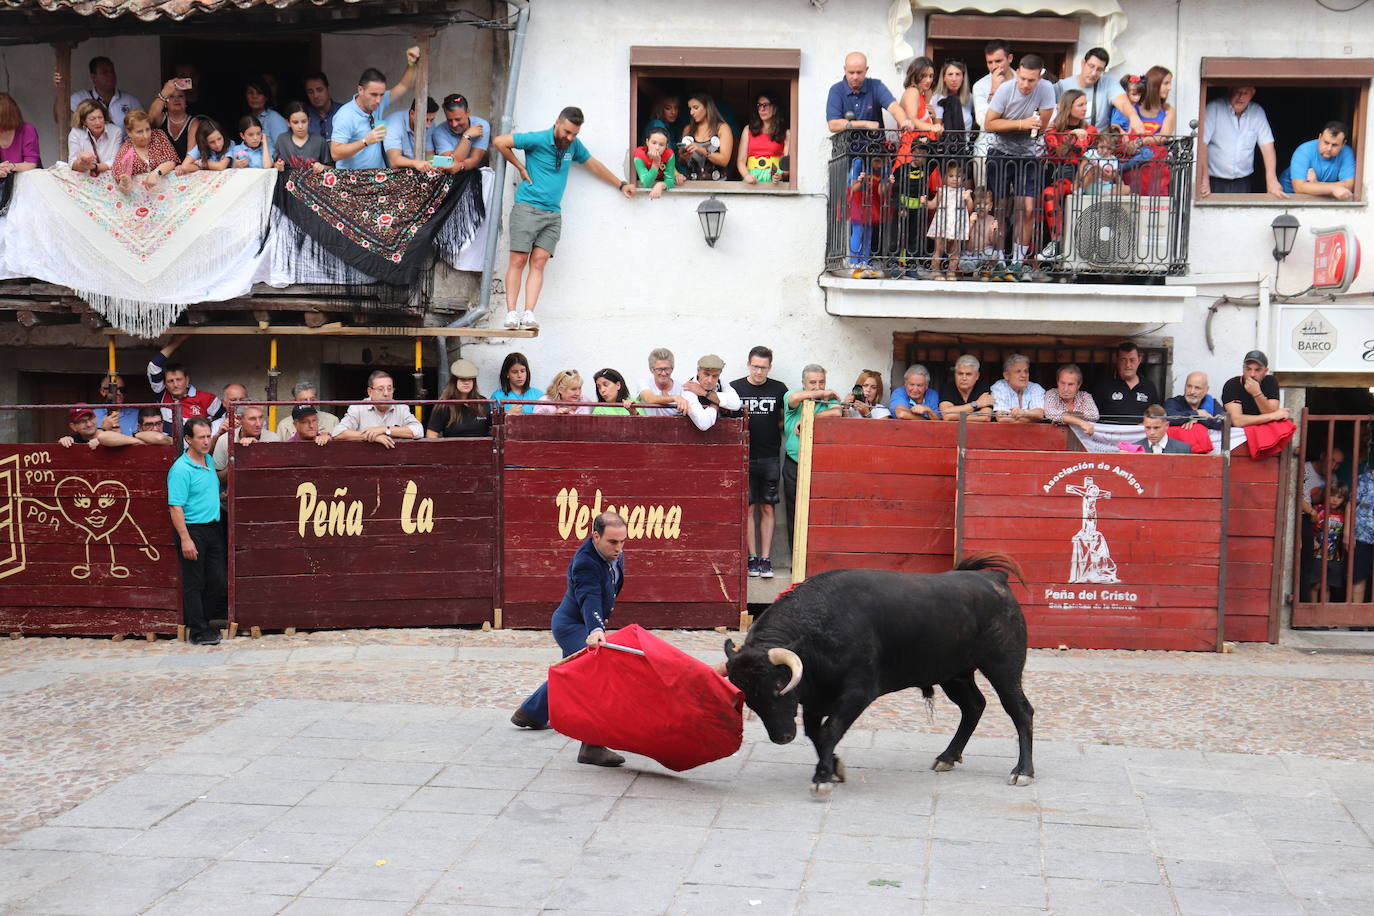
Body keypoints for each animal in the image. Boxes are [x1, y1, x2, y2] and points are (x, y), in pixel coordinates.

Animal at [725, 552, 1033, 796]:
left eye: (780, 685)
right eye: (750, 699)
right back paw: (947, 756)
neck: (817, 630)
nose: (783, 737)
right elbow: (816, 734)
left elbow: (830, 730)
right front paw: (833, 767)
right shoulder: (814, 698)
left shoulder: (857, 692)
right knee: (973, 706)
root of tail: (994, 579)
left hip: (1003, 667)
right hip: (954, 674)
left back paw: (1023, 772)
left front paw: (822, 778)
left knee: (1020, 710)